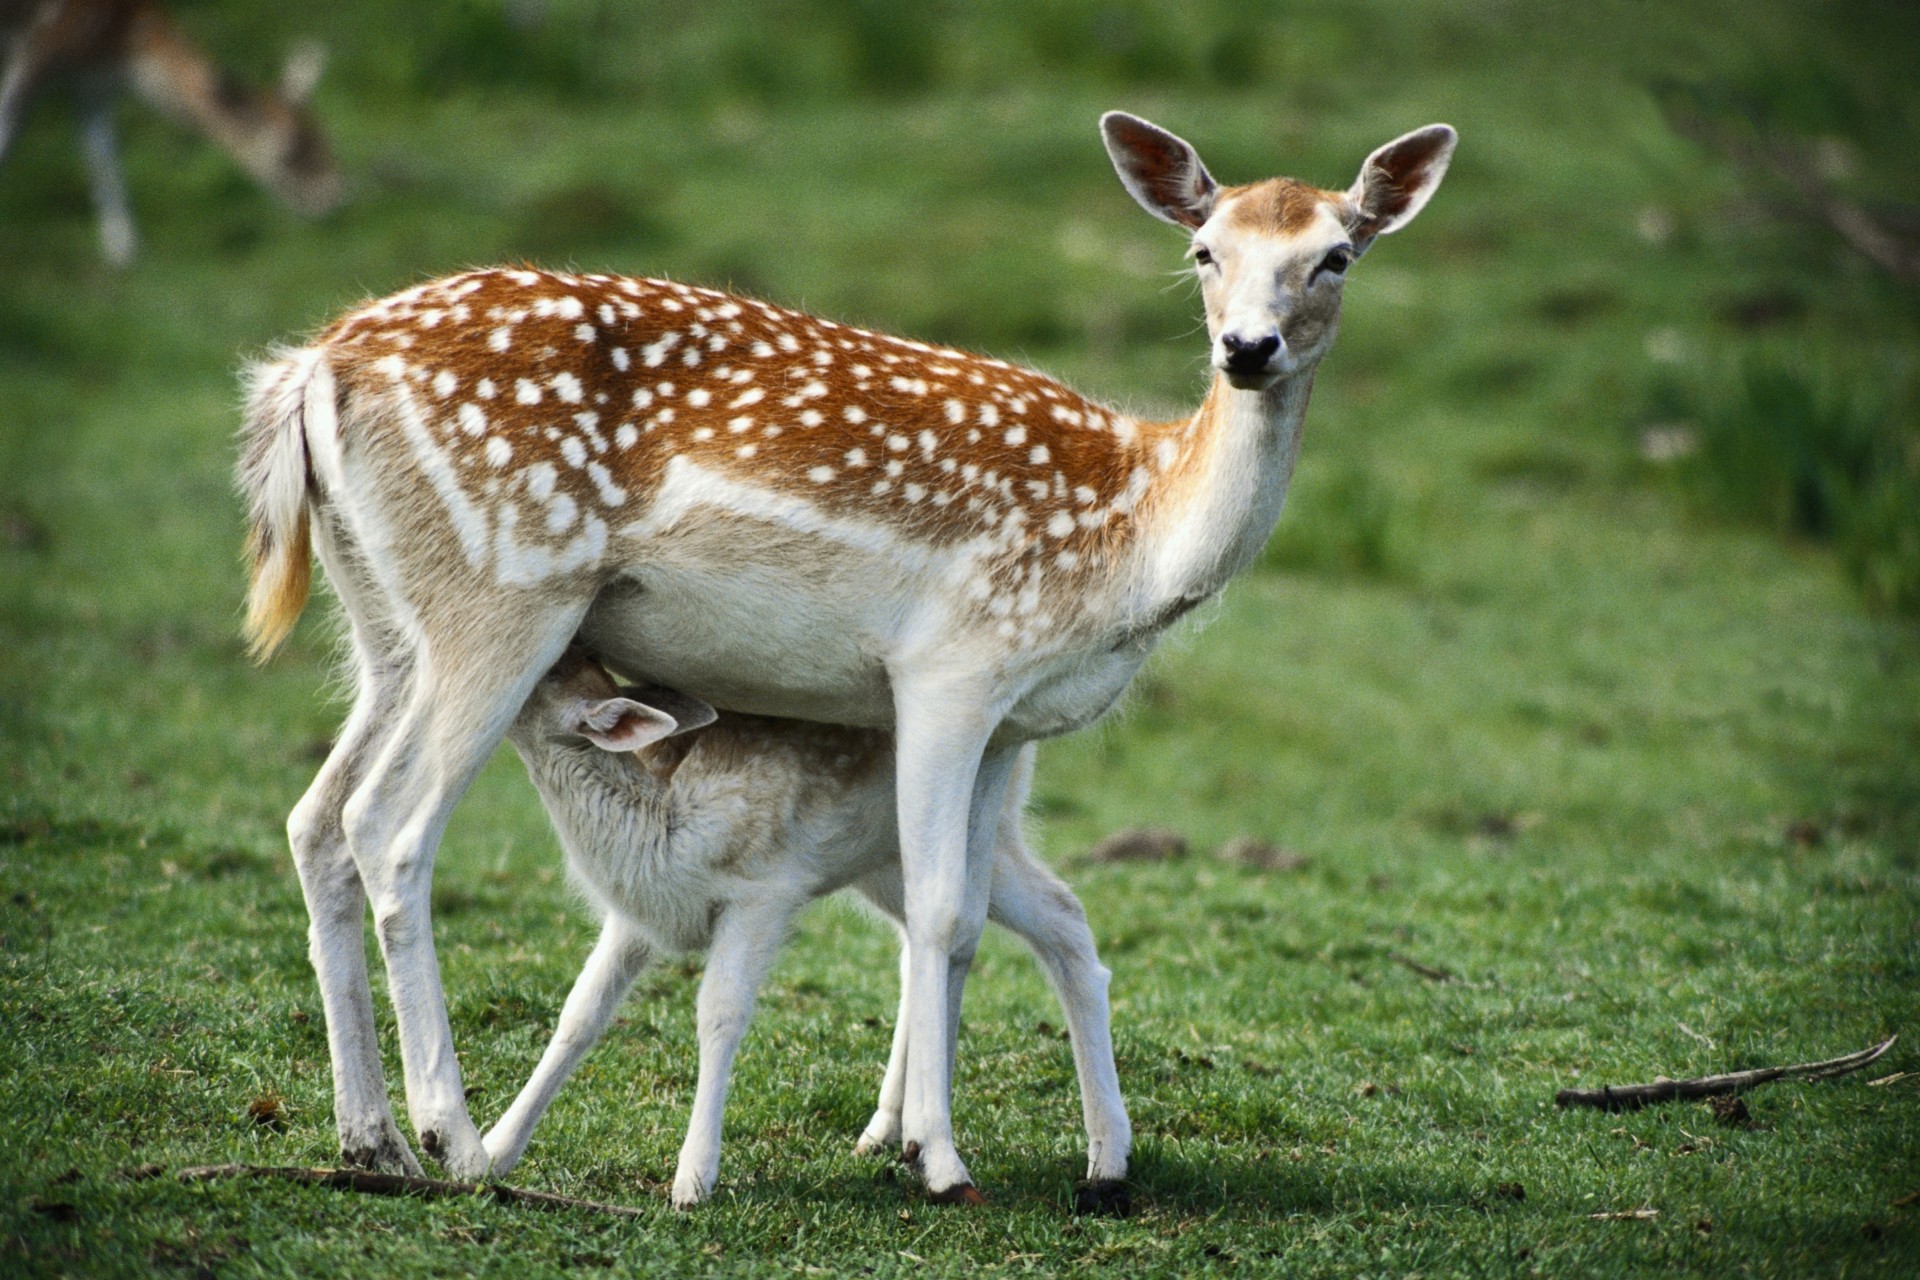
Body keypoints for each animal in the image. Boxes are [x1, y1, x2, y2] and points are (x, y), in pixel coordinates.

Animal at [0, 0, 341, 266]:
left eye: (324, 138)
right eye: (291, 152)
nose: (335, 198)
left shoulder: (92, 85)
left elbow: (102, 153)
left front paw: (124, 251)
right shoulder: (40, 46)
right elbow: (8, 132)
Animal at [485, 648, 1129, 1210]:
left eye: (546, 667)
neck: (661, 828)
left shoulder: (762, 892)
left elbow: (719, 1014)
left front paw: (692, 1181)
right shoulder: (638, 917)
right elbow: (579, 1013)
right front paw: (493, 1151)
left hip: (989, 832)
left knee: (1061, 915)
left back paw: (1104, 1159)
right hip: (883, 861)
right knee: (920, 944)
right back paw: (884, 1131)